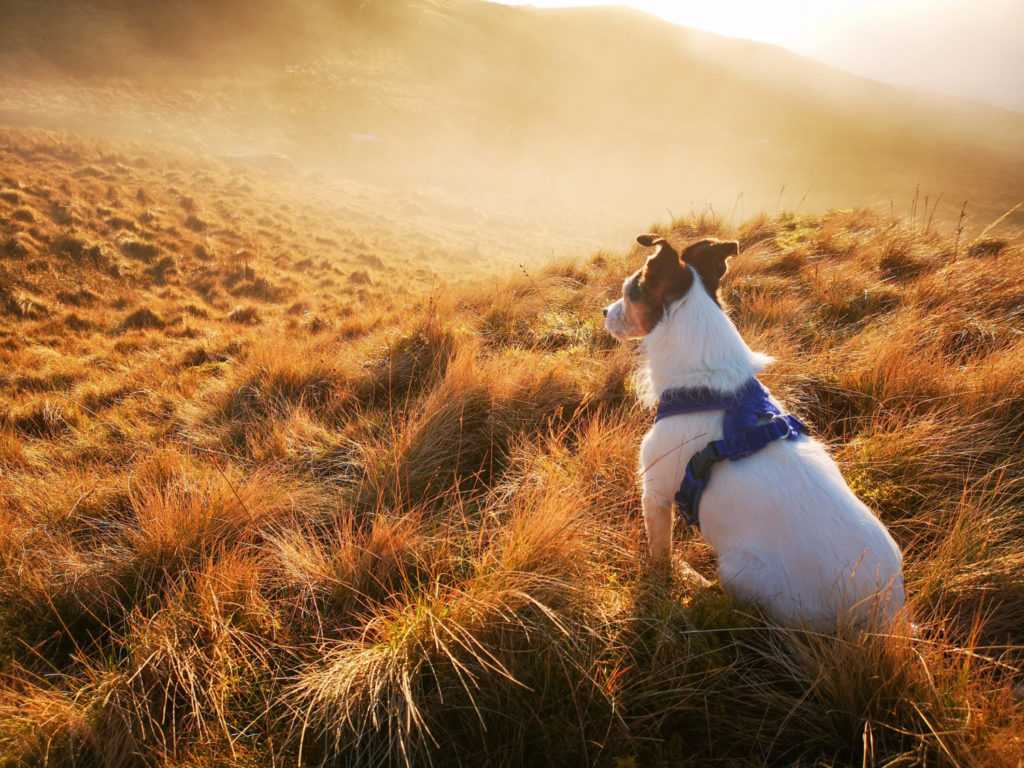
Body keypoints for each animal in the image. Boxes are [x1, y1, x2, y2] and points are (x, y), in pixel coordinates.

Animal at [602, 234, 909, 630]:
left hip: (738, 570)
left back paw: (695, 579)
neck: (708, 384)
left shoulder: (654, 494)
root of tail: (885, 615)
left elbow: (659, 553)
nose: (603, 312)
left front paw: (661, 580)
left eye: (628, 293)